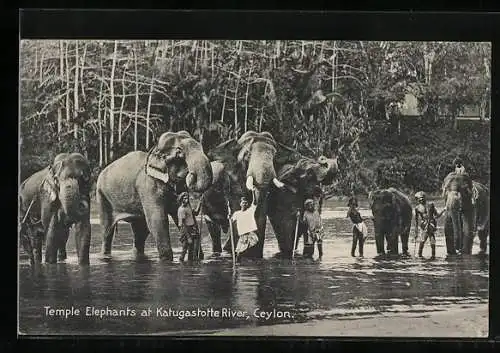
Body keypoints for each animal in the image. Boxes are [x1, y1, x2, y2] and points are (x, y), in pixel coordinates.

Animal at [95, 131, 213, 260]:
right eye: (179, 153)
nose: (191, 174)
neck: (154, 150)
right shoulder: (148, 186)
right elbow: (158, 220)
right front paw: (167, 259)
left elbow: (181, 214)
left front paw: (198, 257)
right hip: (102, 196)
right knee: (107, 231)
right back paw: (105, 255)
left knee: (141, 231)